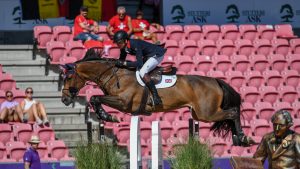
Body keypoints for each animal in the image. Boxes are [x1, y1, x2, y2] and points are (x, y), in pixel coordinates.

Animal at [62, 48, 254, 147]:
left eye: (69, 77)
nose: (64, 100)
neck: (114, 74)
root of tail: (215, 81)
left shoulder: (124, 103)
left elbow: (95, 98)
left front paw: (108, 116)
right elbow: (95, 98)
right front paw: (106, 116)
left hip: (207, 113)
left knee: (233, 112)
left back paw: (243, 137)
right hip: (199, 114)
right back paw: (239, 139)